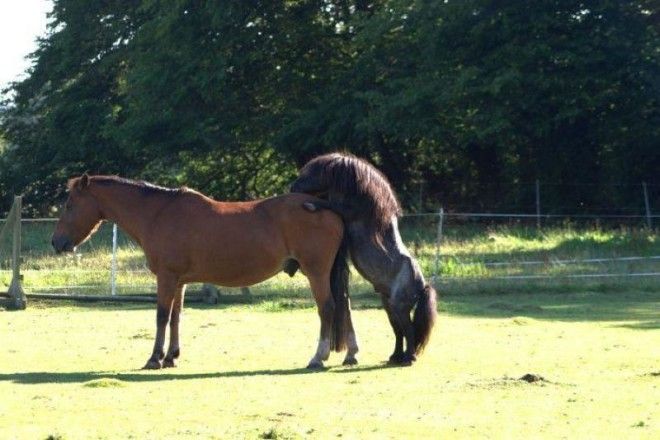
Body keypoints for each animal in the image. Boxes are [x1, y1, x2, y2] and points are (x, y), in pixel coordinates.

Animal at [52, 174, 358, 370]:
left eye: (69, 205)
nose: (56, 242)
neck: (158, 213)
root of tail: (324, 207)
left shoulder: (166, 277)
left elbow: (161, 316)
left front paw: (154, 358)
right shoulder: (179, 281)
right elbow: (176, 317)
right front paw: (171, 356)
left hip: (316, 272)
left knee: (327, 308)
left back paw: (318, 357)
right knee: (344, 305)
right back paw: (350, 353)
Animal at [290, 153, 436, 366]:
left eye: (312, 173)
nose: (292, 188)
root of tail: (422, 286)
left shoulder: (346, 211)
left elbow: (329, 205)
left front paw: (310, 204)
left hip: (399, 308)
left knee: (408, 330)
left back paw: (408, 358)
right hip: (389, 307)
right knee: (399, 330)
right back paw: (395, 356)